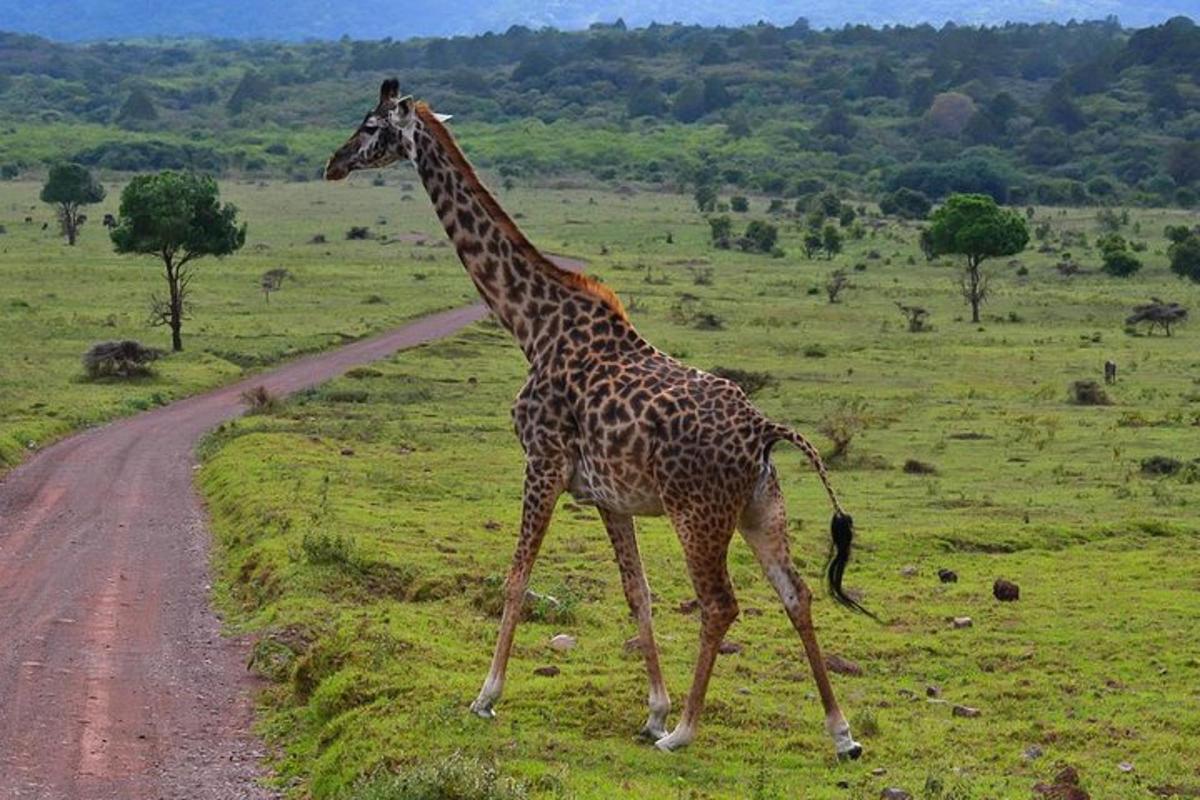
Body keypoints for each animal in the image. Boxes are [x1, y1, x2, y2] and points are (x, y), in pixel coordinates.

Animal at [326, 77, 873, 762]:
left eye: (371, 126)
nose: (333, 163)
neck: (533, 326)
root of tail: (765, 431)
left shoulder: (542, 462)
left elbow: (516, 578)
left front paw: (486, 696)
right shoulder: (609, 496)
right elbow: (637, 593)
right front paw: (652, 712)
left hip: (699, 515)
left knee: (721, 604)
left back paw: (688, 732)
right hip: (759, 509)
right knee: (796, 593)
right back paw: (841, 734)